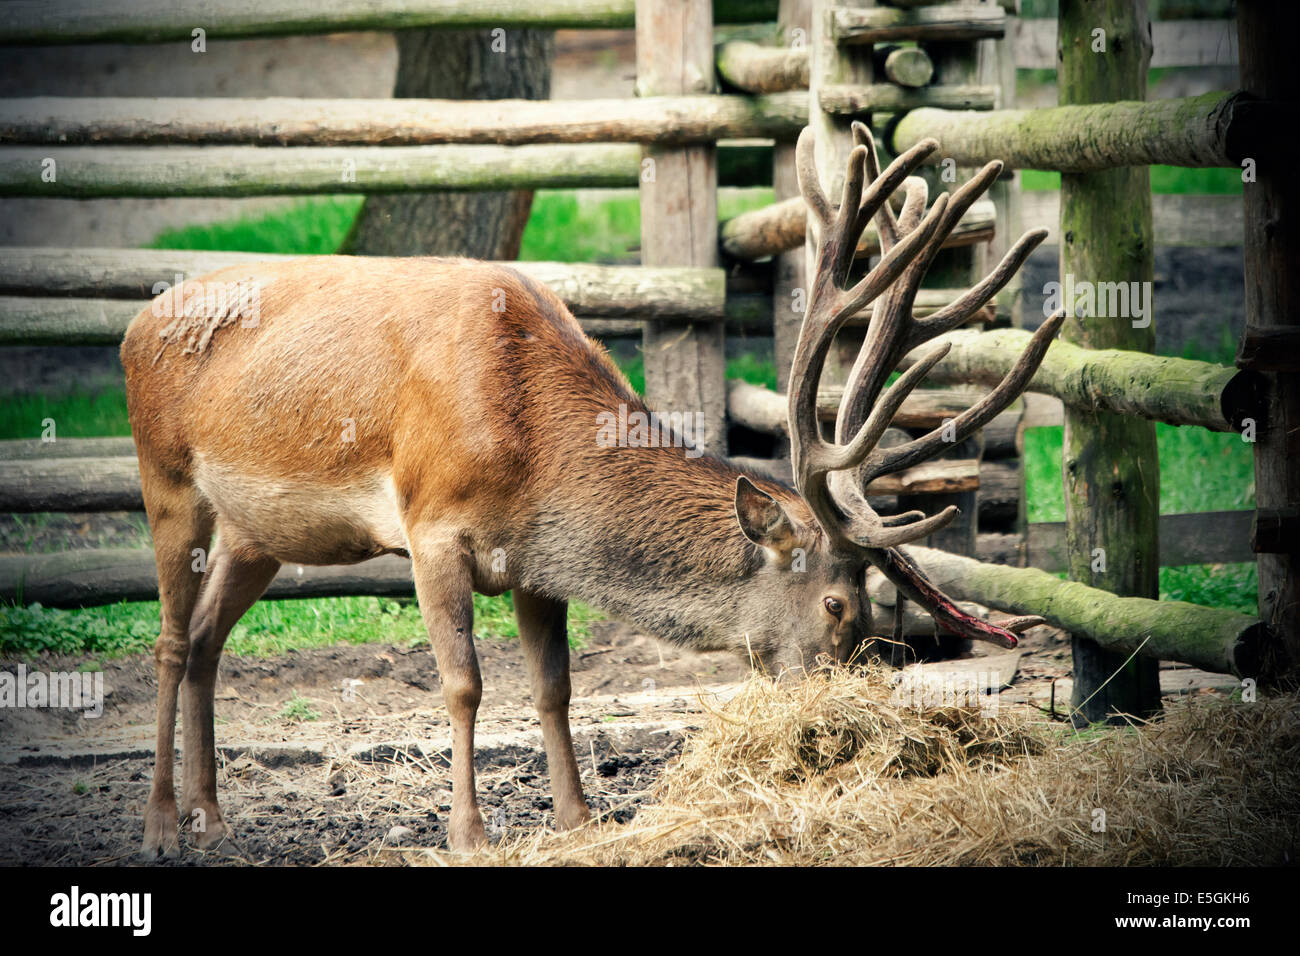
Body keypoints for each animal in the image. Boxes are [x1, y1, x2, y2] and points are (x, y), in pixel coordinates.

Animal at [122, 119, 1060, 858]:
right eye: (838, 604)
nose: (833, 711)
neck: (532, 440)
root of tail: (136, 321)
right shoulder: (431, 525)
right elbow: (464, 683)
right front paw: (468, 833)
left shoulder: (534, 560)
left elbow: (555, 686)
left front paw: (578, 818)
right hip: (164, 477)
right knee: (168, 640)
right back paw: (162, 823)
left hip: (257, 533)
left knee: (205, 639)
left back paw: (213, 816)